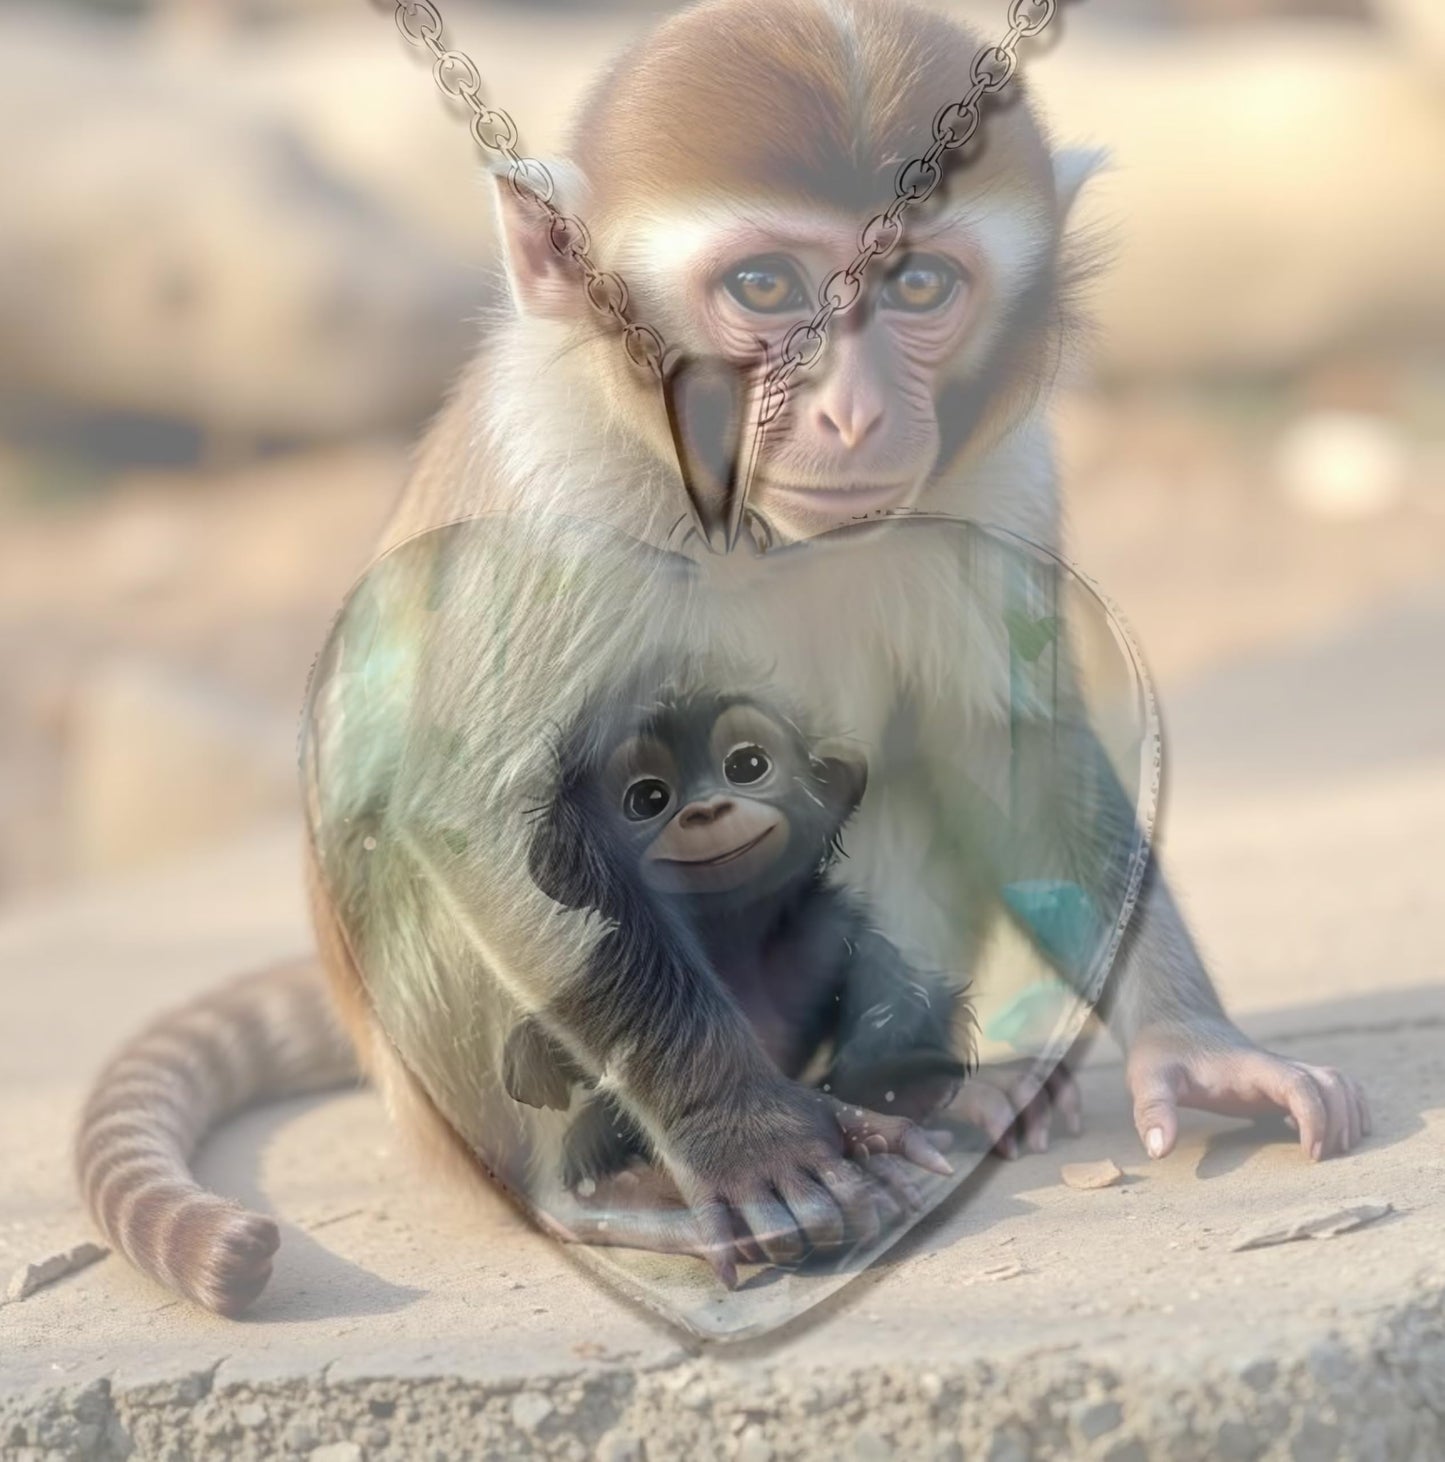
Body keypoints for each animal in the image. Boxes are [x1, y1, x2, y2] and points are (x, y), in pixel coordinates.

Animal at [503, 681, 972, 1219]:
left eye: (747, 766)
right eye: (647, 798)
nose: (707, 810)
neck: (734, 937)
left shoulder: (828, 923)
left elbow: (903, 993)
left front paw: (899, 1090)